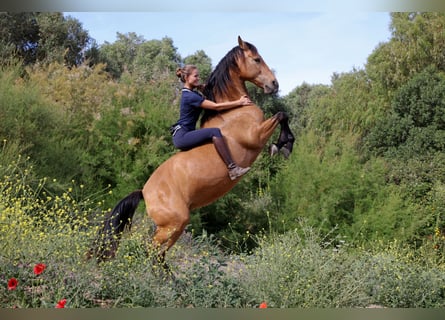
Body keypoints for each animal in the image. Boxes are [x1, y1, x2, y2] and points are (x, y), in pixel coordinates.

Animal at [88, 35, 294, 264]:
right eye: (256, 59)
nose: (274, 84)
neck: (233, 112)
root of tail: (144, 192)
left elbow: (282, 115)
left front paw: (284, 145)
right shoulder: (254, 136)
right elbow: (281, 114)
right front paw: (283, 145)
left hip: (173, 227)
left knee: (157, 256)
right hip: (173, 224)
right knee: (150, 252)